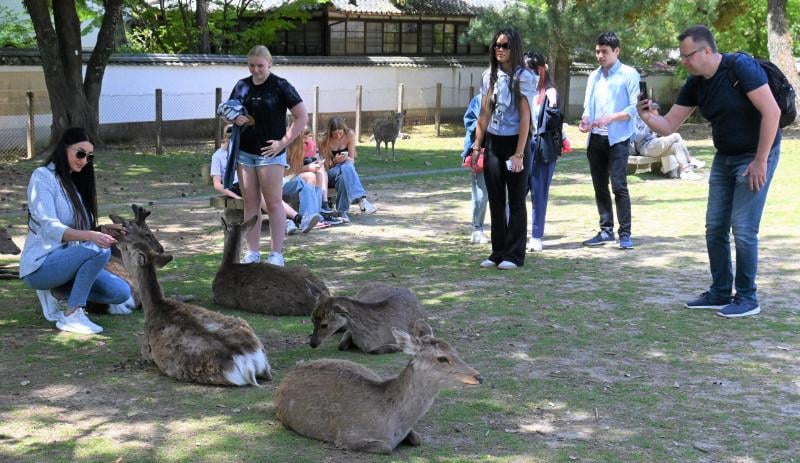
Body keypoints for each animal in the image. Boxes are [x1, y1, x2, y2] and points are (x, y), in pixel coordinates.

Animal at [275, 327, 483, 454]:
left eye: (456, 351)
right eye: (442, 358)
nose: (478, 376)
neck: (392, 424)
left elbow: (418, 438)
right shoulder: (347, 437)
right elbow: (387, 448)